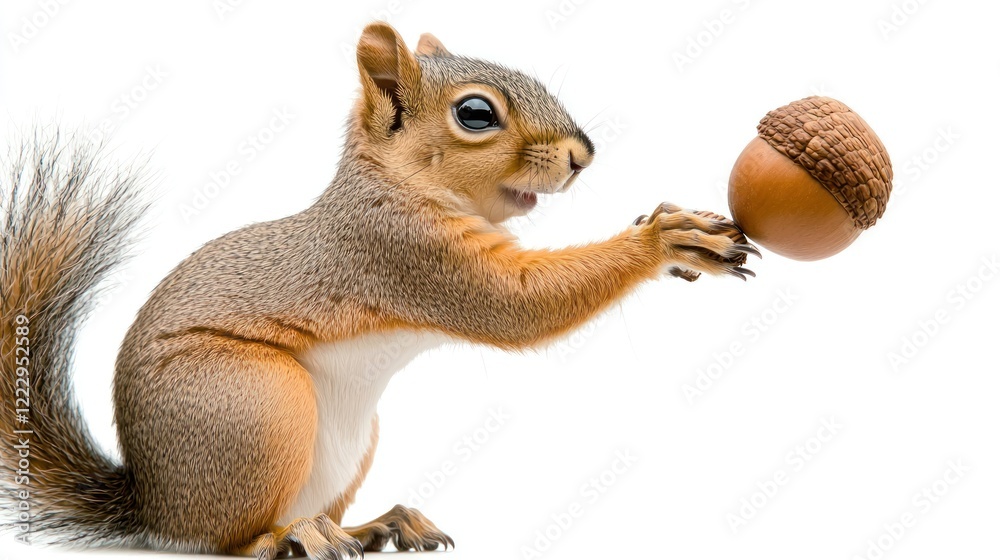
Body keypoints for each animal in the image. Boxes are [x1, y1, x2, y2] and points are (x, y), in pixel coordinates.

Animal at [0, 22, 757, 560]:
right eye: (476, 114)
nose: (584, 154)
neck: (396, 183)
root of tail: (153, 504)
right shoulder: (403, 254)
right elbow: (516, 306)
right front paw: (666, 241)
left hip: (349, 442)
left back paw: (372, 527)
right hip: (253, 404)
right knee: (226, 540)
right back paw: (289, 538)